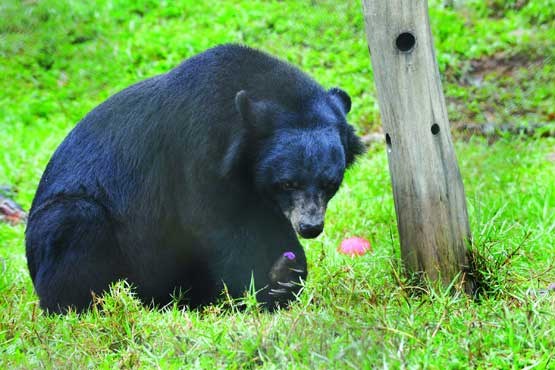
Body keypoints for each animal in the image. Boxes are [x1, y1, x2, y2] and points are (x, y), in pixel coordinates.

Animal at [26, 44, 364, 314]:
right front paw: (263, 291)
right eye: (288, 183)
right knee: (75, 224)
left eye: (329, 184)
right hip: (66, 225)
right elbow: (217, 224)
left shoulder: (258, 193)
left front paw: (287, 273)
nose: (311, 227)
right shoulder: (196, 153)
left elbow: (268, 225)